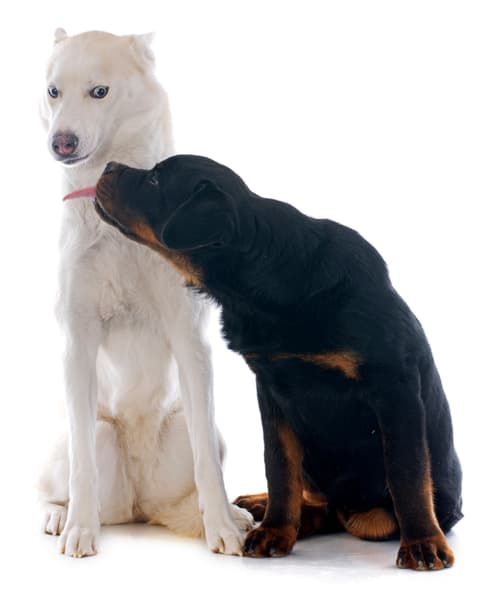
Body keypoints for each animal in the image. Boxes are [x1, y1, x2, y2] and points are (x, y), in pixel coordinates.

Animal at [38, 29, 251, 556]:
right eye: (53, 91)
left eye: (100, 91)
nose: (60, 142)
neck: (118, 220)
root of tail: (140, 504)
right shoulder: (77, 345)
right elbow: (83, 470)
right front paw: (79, 530)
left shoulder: (190, 343)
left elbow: (208, 467)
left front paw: (222, 527)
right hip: (90, 434)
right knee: (65, 476)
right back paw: (61, 515)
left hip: (194, 433)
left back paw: (230, 516)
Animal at [93, 155, 462, 572]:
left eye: (155, 180)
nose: (108, 165)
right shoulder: (272, 389)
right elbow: (280, 467)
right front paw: (275, 530)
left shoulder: (394, 386)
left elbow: (407, 472)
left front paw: (422, 542)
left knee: (365, 516)